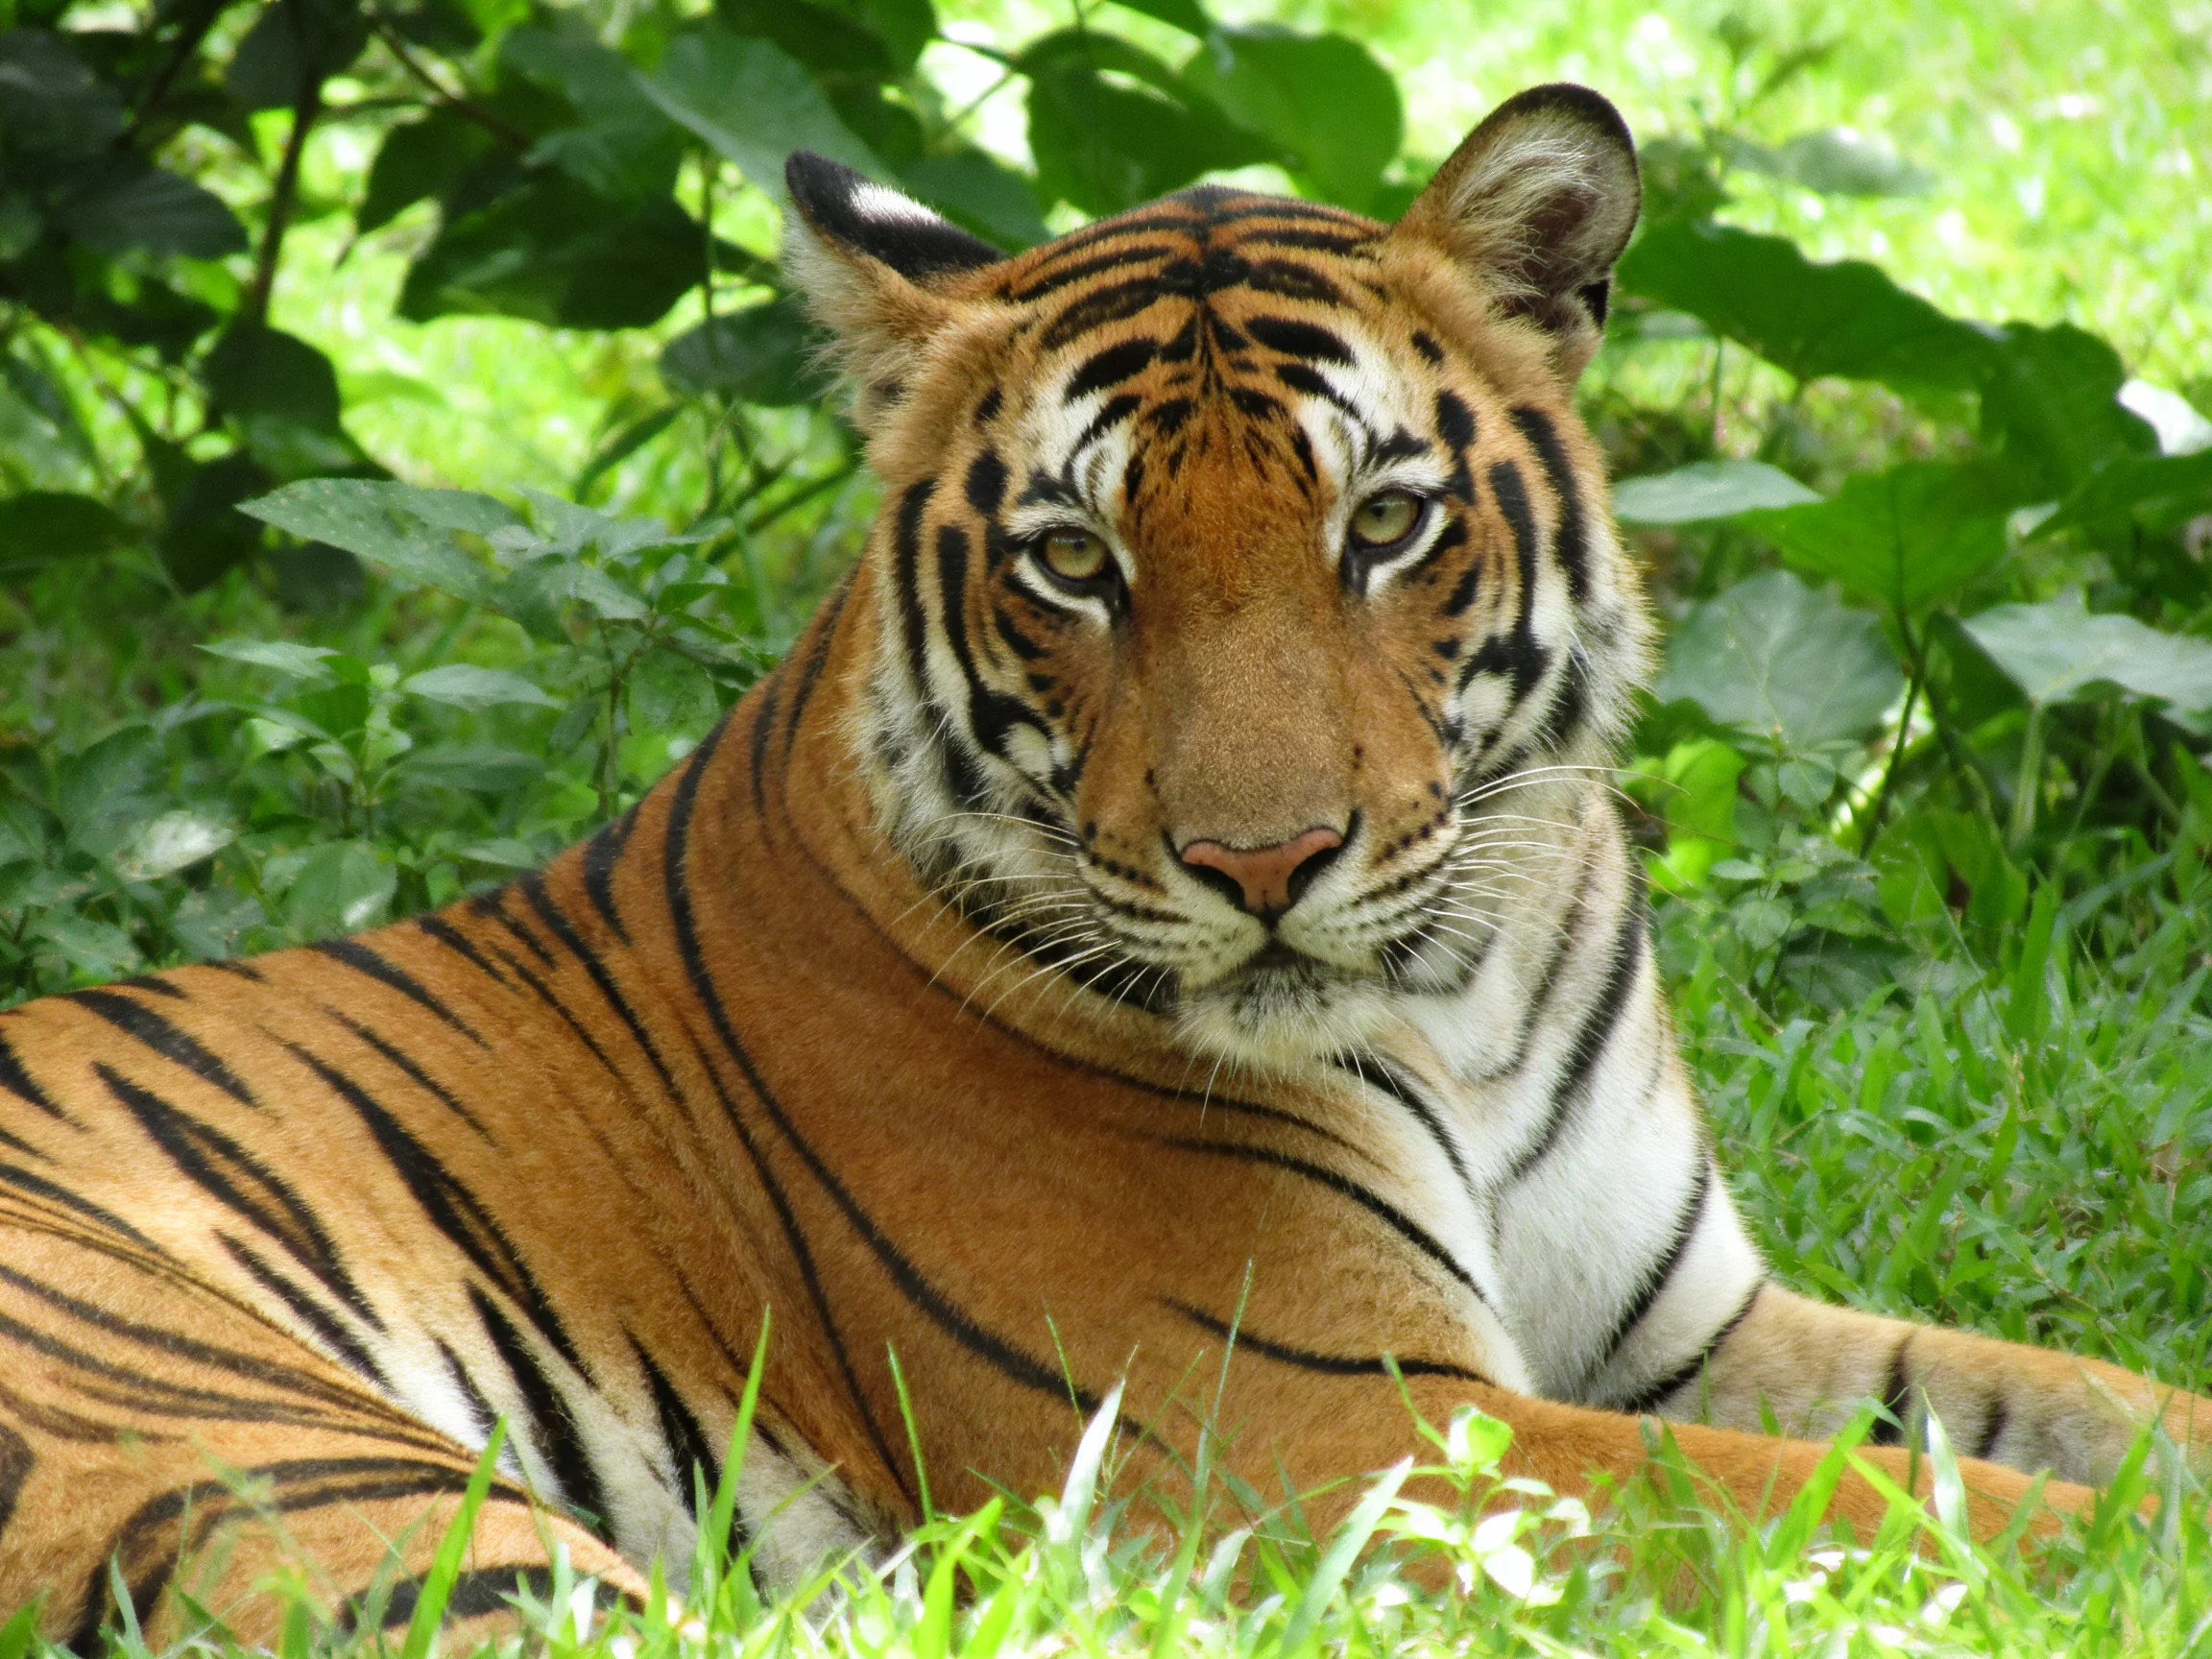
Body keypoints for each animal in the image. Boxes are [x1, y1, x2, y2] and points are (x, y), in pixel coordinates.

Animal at [0, 82, 2203, 1646]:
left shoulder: (1683, 1336)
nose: (1263, 857)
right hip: (318, 1478)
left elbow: (2086, 1410)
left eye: (1382, 523)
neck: (1468, 994)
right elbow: (1929, 1514)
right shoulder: (1338, 1431)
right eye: (1074, 559)